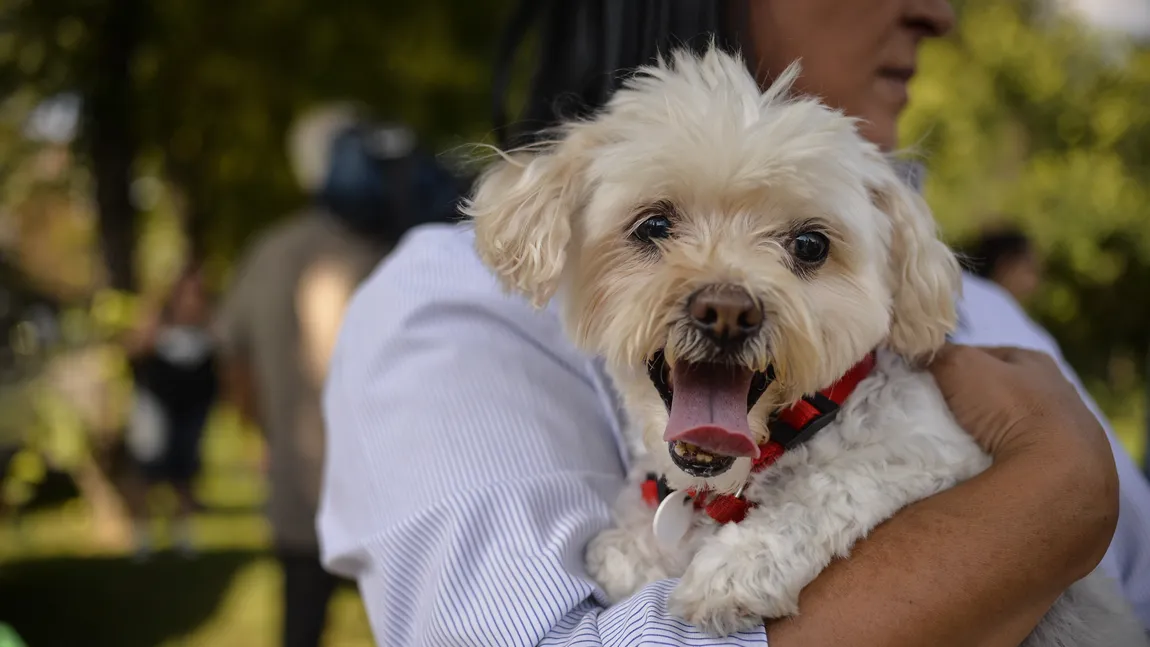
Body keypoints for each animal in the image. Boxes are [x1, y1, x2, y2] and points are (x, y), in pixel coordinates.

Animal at [462, 47, 1145, 643]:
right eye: (654, 225)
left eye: (811, 245)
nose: (726, 310)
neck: (739, 480)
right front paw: (632, 547)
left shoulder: (936, 453)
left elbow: (840, 483)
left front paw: (735, 571)